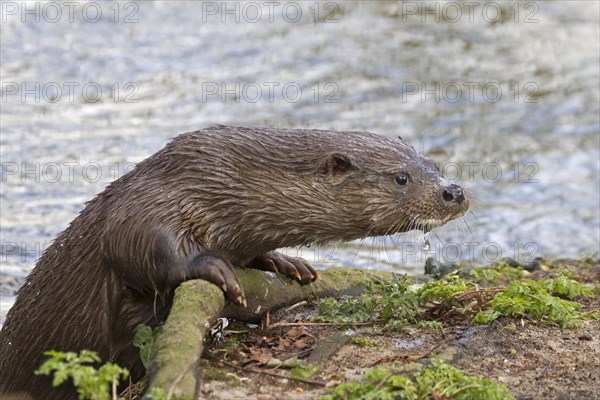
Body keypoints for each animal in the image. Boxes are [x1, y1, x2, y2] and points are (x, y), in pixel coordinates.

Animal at [0, 125, 468, 396]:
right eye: (401, 177)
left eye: (434, 164)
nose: (454, 191)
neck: (223, 183)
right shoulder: (148, 202)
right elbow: (138, 244)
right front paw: (215, 268)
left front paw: (287, 262)